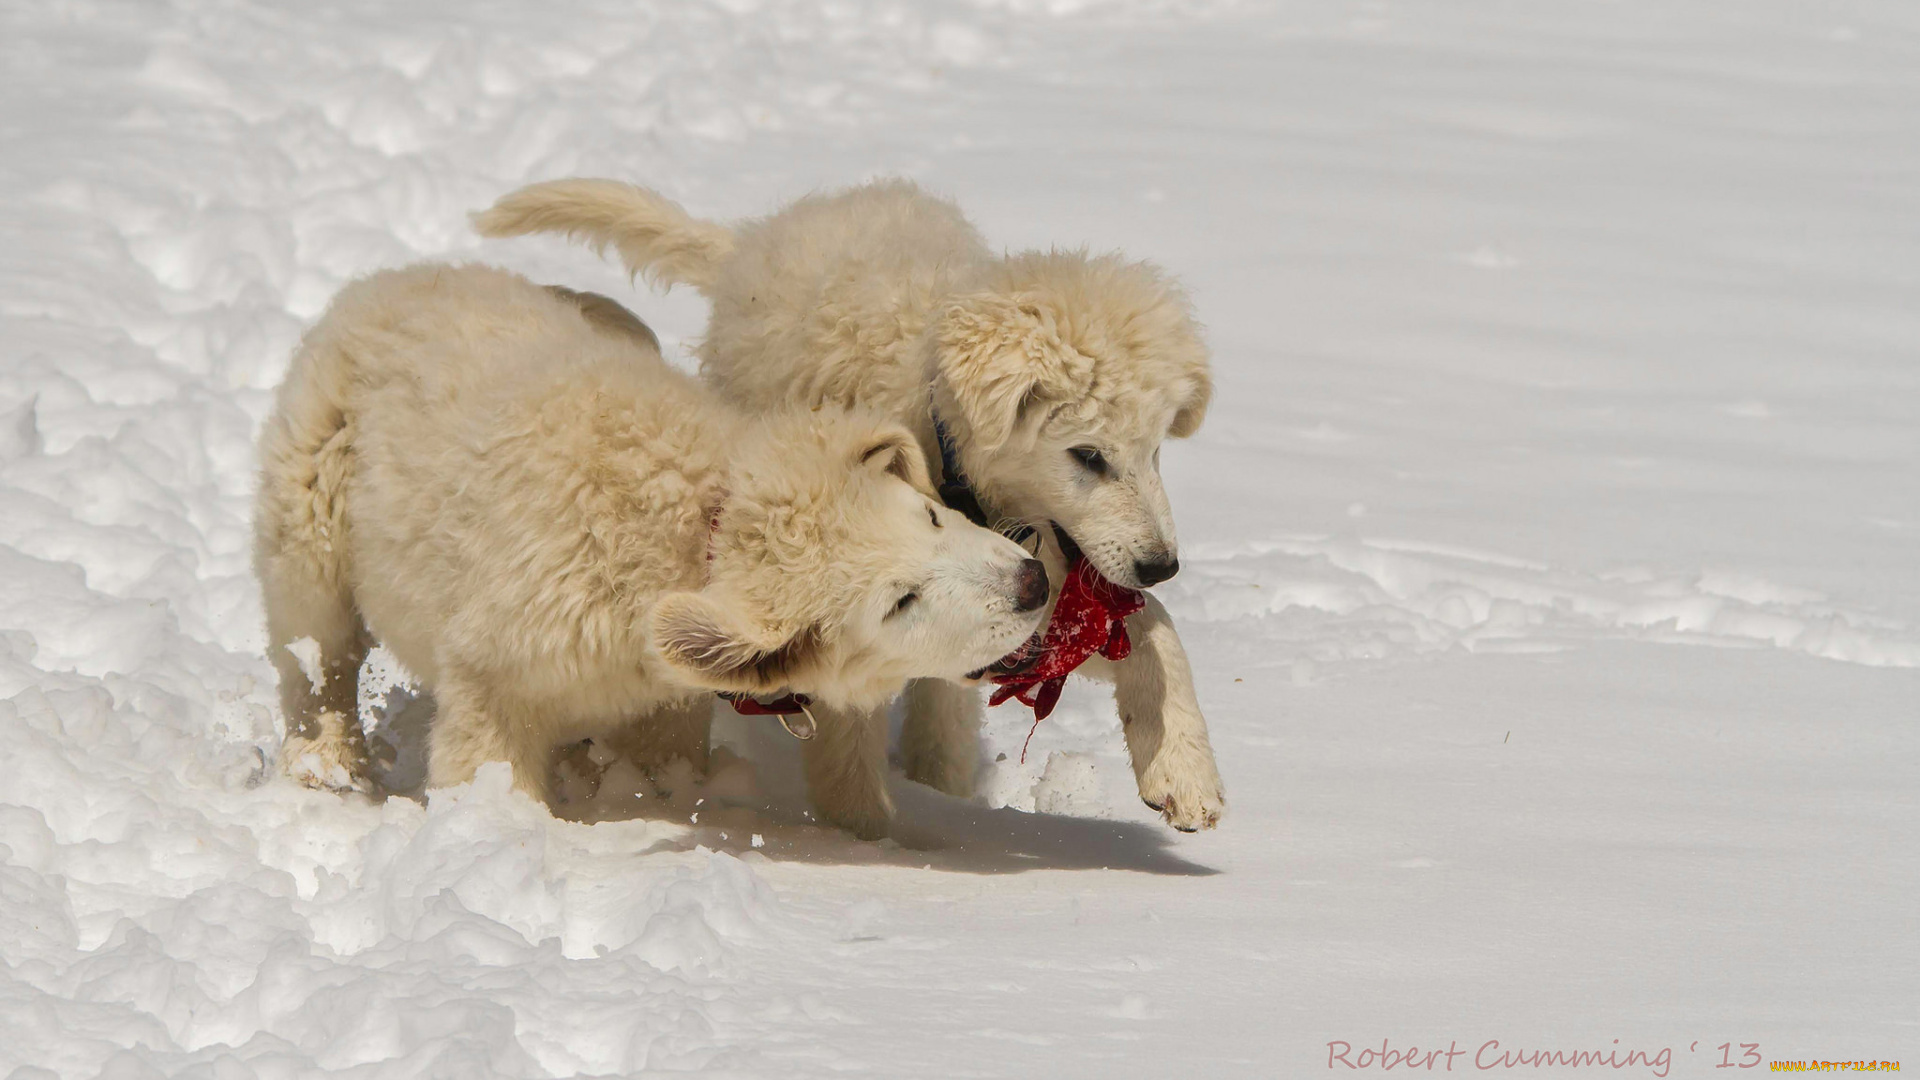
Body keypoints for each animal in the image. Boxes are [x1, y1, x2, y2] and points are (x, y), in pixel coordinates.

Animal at [251, 261, 1052, 834]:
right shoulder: (496, 669)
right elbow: (485, 754)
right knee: (315, 650)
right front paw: (502, 828)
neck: (697, 527)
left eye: (933, 518)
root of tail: (380, 283)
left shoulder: (665, 690)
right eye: (900, 603)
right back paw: (327, 760)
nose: (1033, 583)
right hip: (309, 513)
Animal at [480, 178, 1228, 834]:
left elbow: (1153, 630)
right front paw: (868, 838)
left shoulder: (1022, 569)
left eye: (1156, 449)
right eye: (1087, 455)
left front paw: (1182, 768)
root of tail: (754, 241)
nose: (1162, 565)